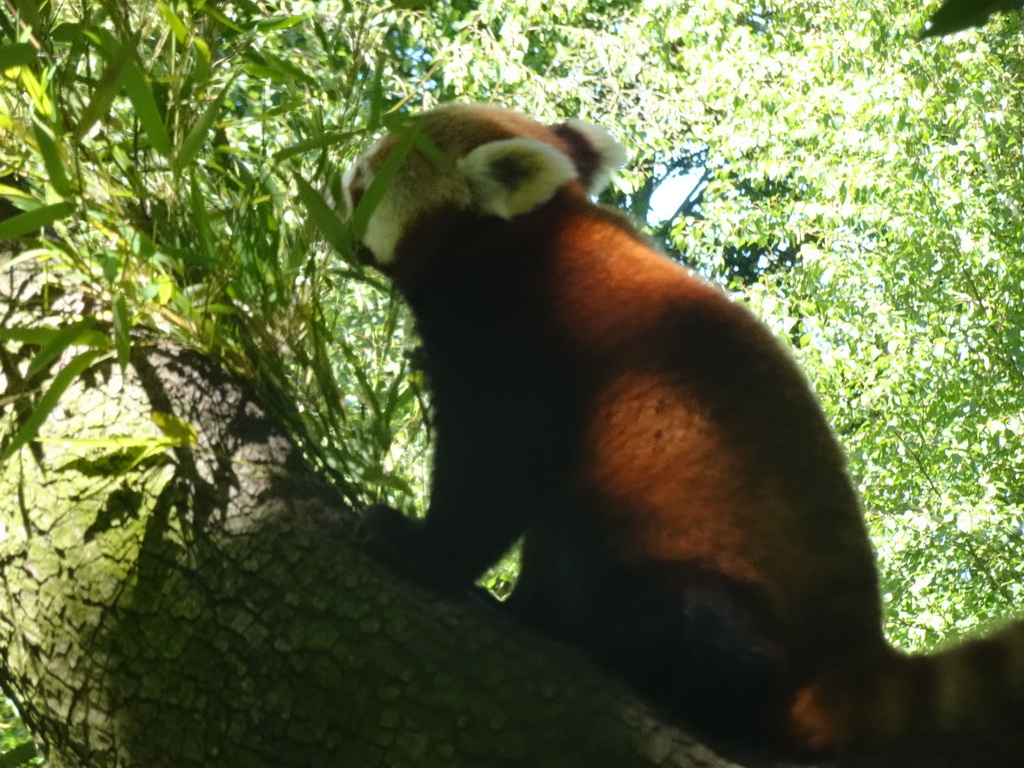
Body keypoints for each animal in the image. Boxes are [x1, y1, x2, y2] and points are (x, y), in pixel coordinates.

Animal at [344, 105, 1024, 761]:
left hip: (701, 578)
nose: (340, 180)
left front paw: (416, 549)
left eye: (366, 178)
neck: (525, 232)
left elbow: (498, 469)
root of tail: (845, 655)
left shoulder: (513, 330)